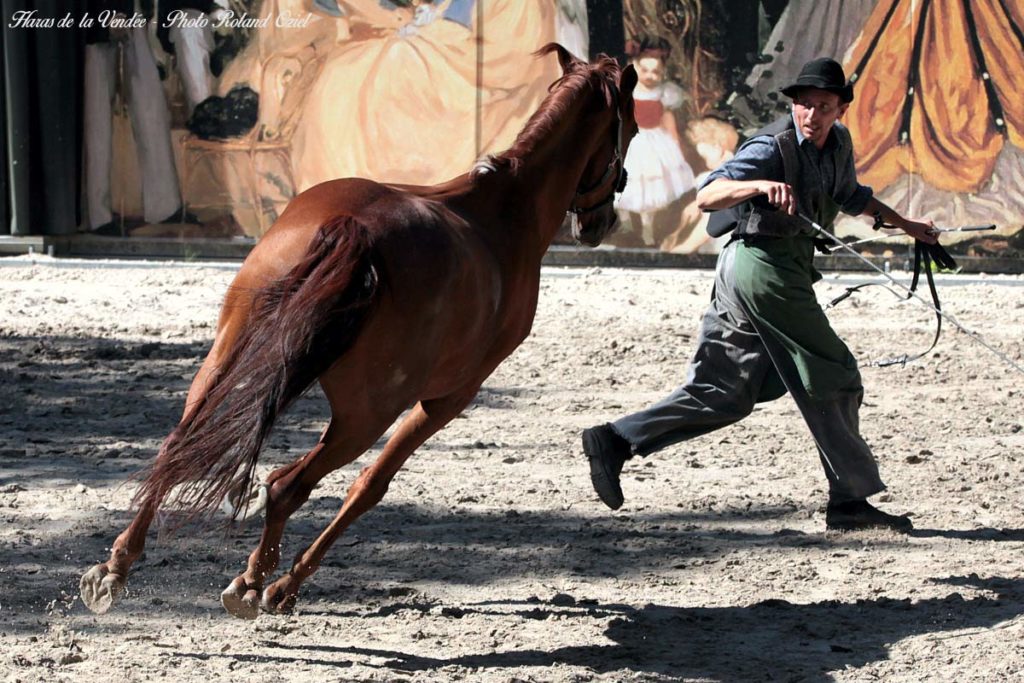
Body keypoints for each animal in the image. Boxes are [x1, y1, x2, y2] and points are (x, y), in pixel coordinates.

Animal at [79, 45, 634, 618]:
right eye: (632, 128)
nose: (599, 224)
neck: (504, 214)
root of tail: (356, 230)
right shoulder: (448, 399)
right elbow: (370, 487)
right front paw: (283, 583)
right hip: (366, 414)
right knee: (289, 485)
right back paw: (259, 583)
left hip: (229, 357)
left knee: (180, 446)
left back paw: (117, 567)